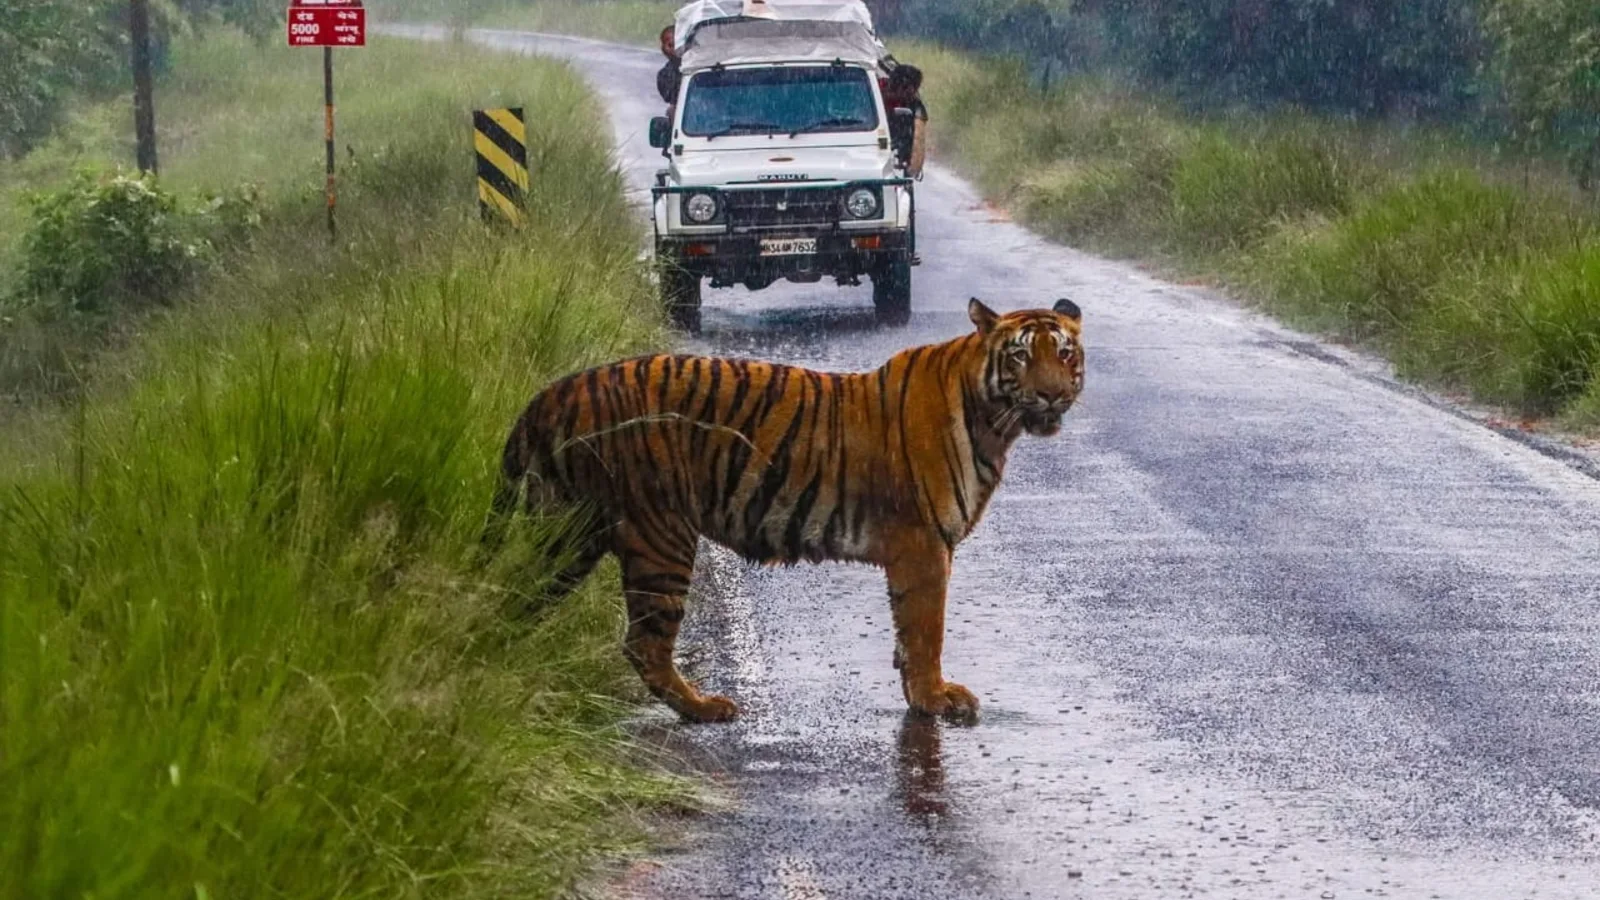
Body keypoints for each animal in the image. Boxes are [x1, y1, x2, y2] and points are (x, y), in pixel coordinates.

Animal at [482, 298, 1084, 724]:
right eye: (1021, 355)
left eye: (1065, 354)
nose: (1052, 396)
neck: (993, 420)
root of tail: (551, 395)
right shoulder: (923, 544)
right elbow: (925, 628)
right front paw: (935, 697)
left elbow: (908, 631)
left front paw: (918, 692)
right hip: (658, 535)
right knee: (644, 643)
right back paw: (704, 708)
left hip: (565, 534)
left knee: (513, 595)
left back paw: (506, 672)